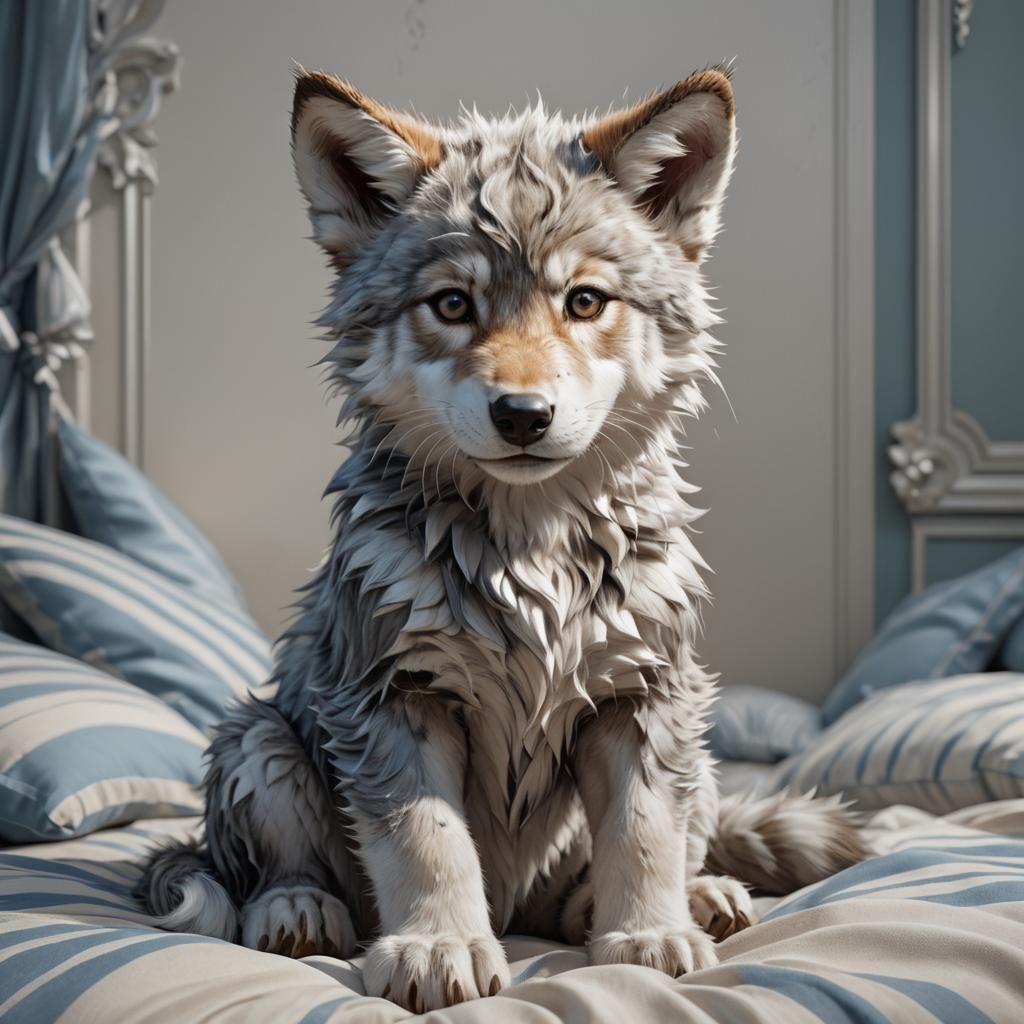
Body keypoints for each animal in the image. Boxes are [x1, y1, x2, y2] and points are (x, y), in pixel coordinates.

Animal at [142, 66, 865, 1012]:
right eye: (453, 304)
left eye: (584, 302)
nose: (523, 415)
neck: (533, 554)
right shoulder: (391, 698)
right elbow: (427, 840)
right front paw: (437, 947)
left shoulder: (642, 697)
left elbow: (644, 834)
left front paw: (647, 935)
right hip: (257, 740)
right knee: (272, 865)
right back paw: (296, 910)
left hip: (698, 746)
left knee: (647, 857)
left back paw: (681, 898)